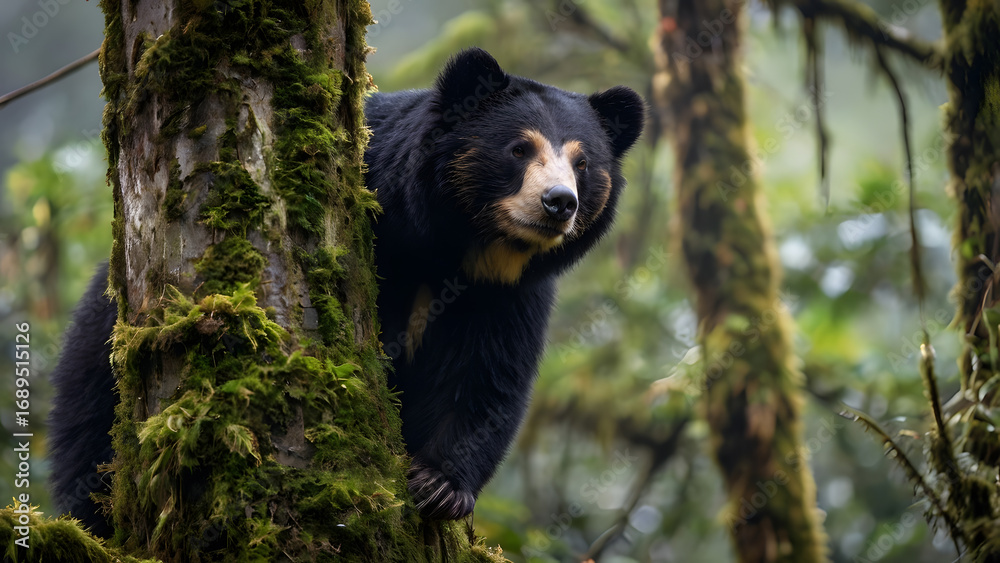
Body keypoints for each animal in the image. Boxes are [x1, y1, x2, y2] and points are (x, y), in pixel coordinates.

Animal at [46, 47, 644, 531]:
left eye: (583, 162)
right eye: (519, 149)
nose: (559, 203)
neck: (458, 246)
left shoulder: (505, 293)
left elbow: (486, 374)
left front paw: (440, 487)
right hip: (103, 359)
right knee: (87, 438)